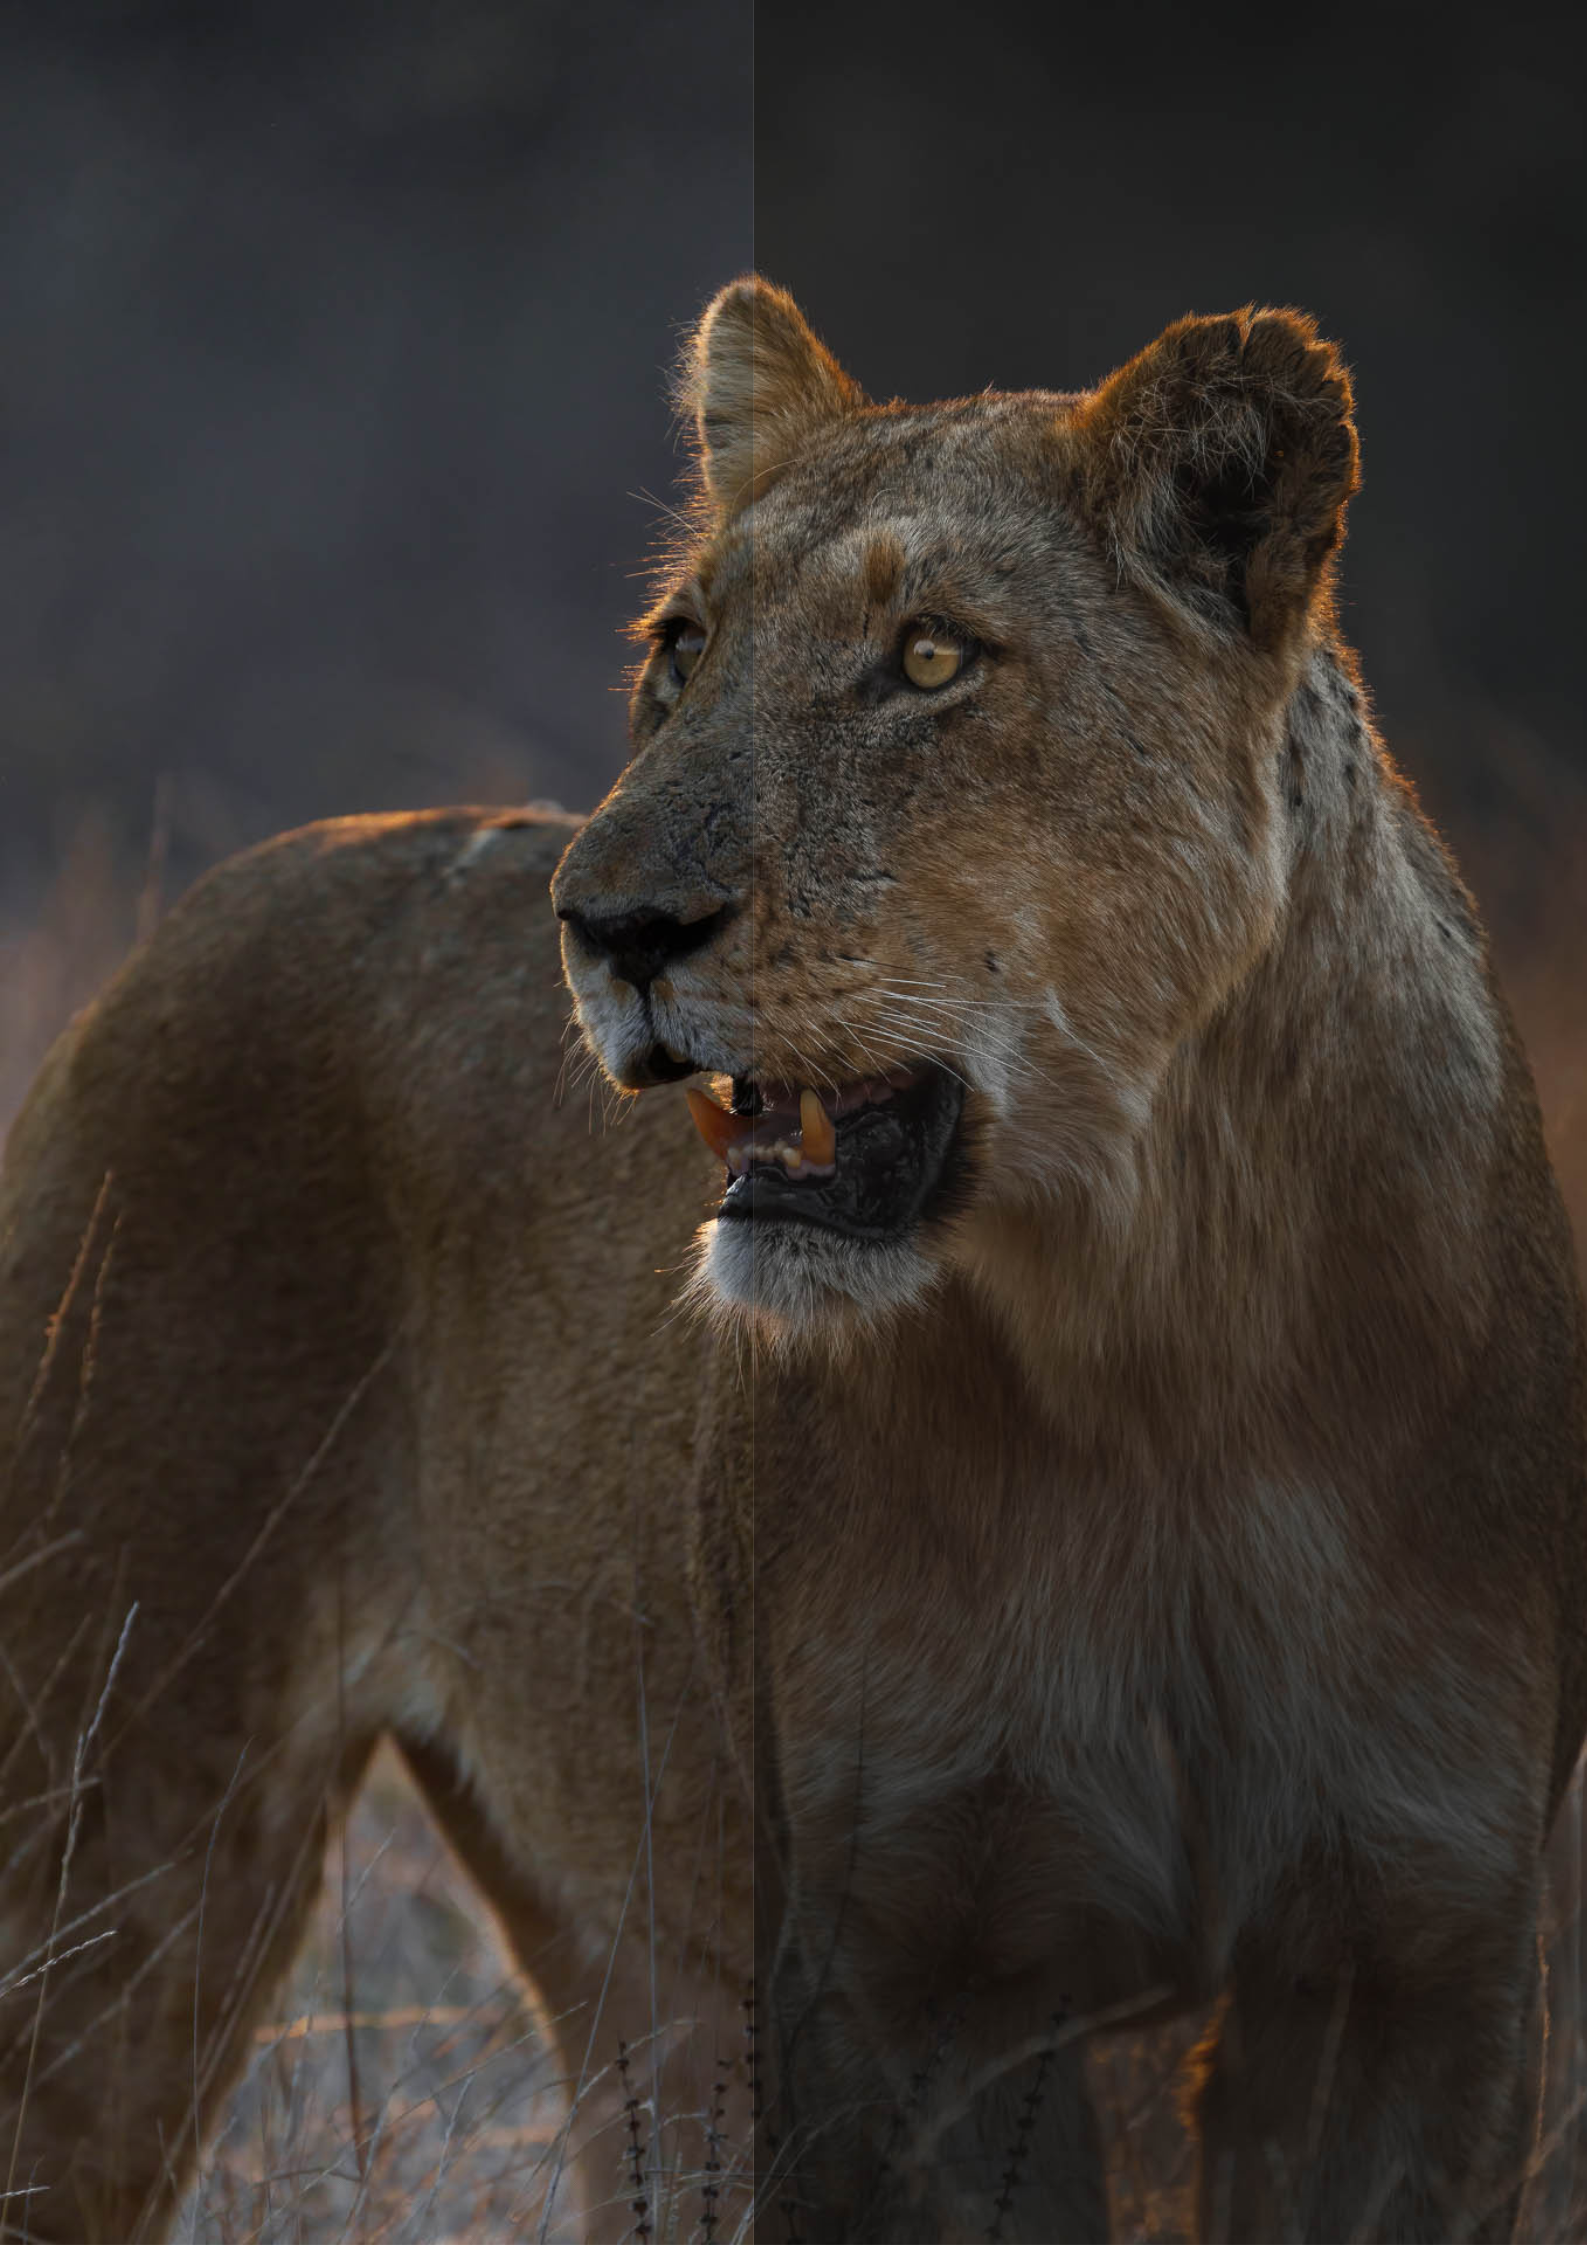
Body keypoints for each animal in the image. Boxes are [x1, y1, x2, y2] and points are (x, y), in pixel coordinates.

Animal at [2, 277, 1583, 2244]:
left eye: (928, 660)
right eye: (680, 647)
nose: (606, 924)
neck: (1165, 1350)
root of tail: (212, 896)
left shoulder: (1421, 1952)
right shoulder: (915, 1956)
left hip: (642, 1967)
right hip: (113, 1810)